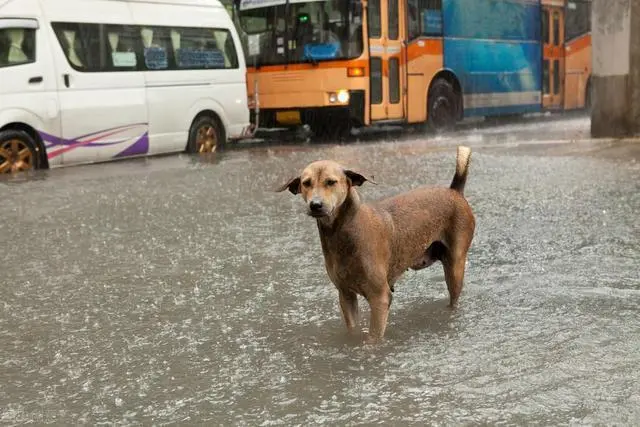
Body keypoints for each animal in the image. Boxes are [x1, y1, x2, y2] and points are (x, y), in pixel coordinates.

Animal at [276, 147, 476, 344]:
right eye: (306, 183)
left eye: (331, 182)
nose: (315, 205)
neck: (343, 232)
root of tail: (454, 191)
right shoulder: (345, 295)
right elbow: (353, 330)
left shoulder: (380, 298)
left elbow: (373, 339)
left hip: (455, 268)